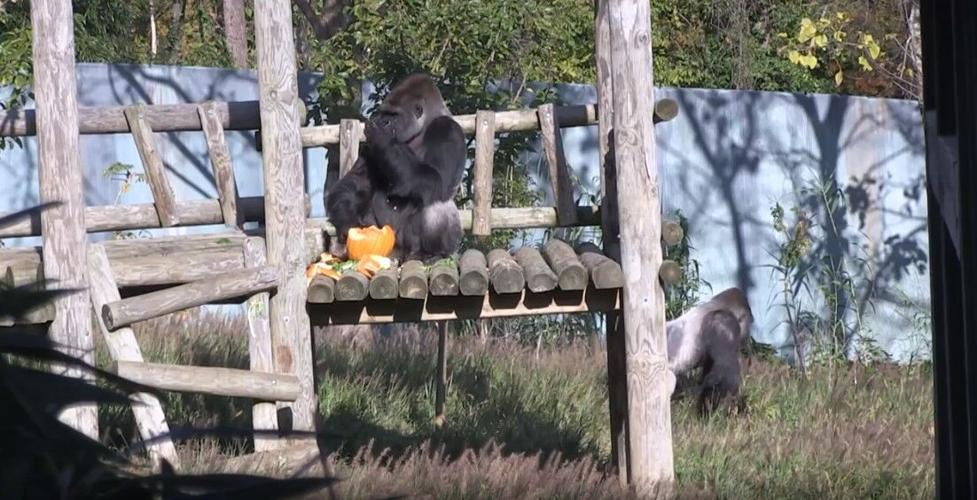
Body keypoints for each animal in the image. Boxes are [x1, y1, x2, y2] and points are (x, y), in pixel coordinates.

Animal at [324, 74, 467, 263]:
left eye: (393, 115)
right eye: (384, 114)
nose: (383, 122)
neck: (422, 128)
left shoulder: (447, 129)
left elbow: (437, 179)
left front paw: (382, 137)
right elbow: (354, 183)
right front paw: (347, 223)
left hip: (412, 248)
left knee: (437, 203)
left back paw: (432, 254)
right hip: (392, 249)